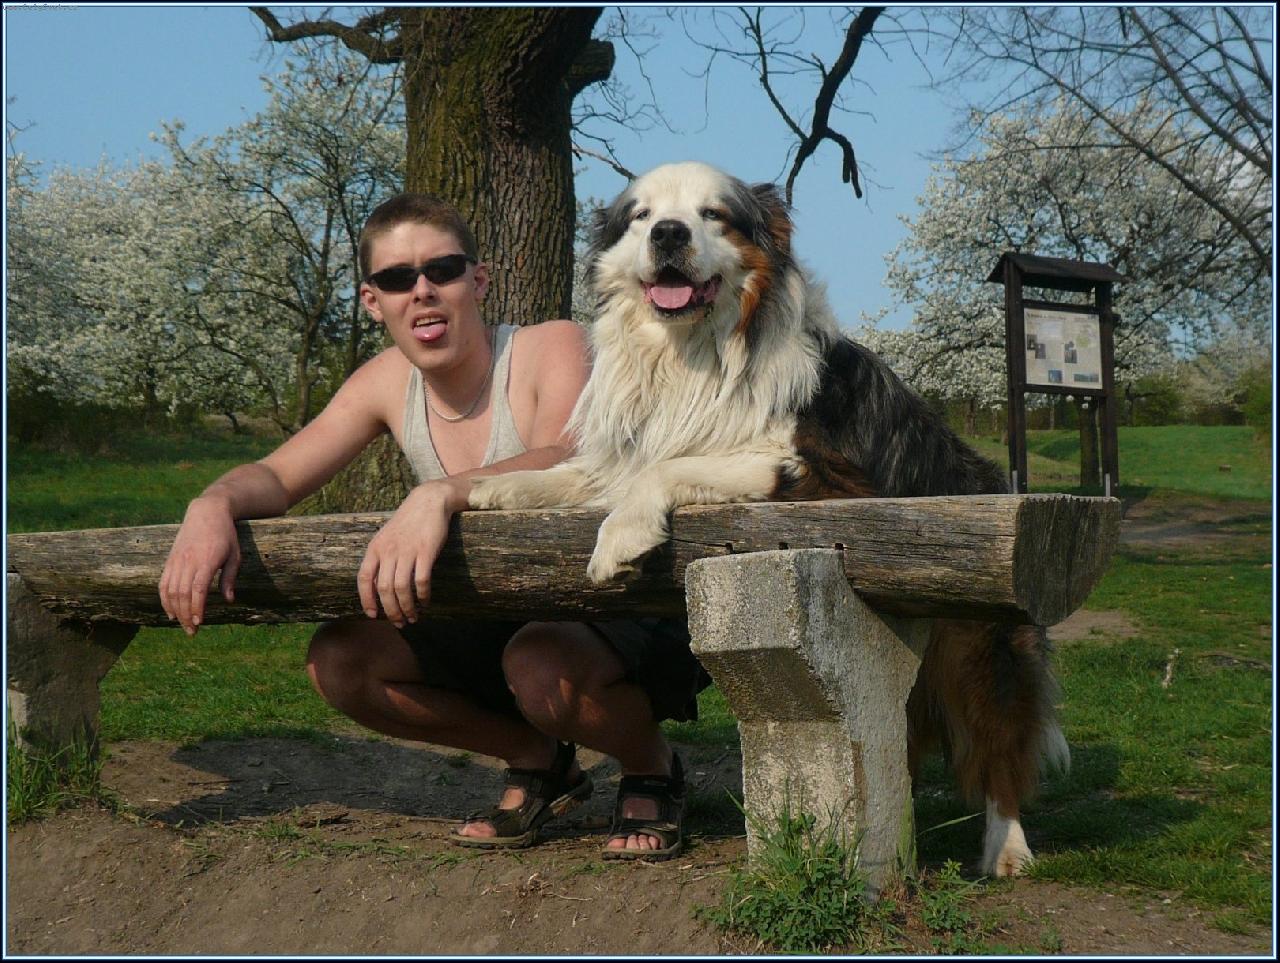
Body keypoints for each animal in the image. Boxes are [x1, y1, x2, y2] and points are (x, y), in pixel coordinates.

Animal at [469, 161, 1069, 876]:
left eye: (712, 214)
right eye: (642, 216)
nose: (669, 234)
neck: (691, 353)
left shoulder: (821, 471)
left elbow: (662, 470)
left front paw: (621, 536)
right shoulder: (629, 450)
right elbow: (587, 474)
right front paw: (492, 489)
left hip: (976, 647)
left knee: (998, 744)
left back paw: (1007, 848)